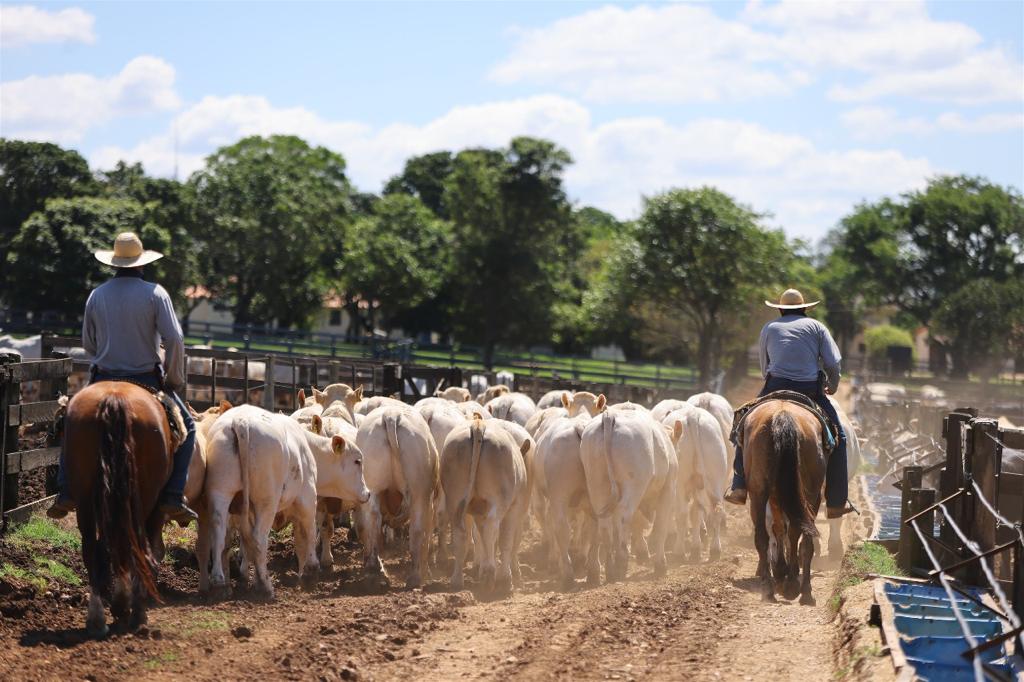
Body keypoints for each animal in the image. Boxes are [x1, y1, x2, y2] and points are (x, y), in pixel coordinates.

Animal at [62, 378, 174, 634]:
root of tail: (114, 398)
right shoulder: (154, 511)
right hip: (144, 500)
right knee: (135, 548)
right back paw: (133, 613)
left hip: (85, 499)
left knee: (93, 549)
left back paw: (97, 618)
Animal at [201, 405, 370, 598]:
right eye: (357, 461)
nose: (367, 493)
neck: (308, 448)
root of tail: (241, 422)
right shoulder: (308, 498)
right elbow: (309, 533)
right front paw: (311, 570)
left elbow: (298, 539)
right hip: (266, 502)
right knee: (259, 538)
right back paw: (266, 586)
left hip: (221, 493)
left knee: (219, 535)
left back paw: (220, 583)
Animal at [356, 403, 436, 585]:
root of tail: (391, 415)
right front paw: (427, 571)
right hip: (418, 491)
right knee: (417, 528)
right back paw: (415, 576)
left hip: (372, 486)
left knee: (373, 520)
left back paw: (375, 570)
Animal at [581, 405, 675, 581]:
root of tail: (610, 416)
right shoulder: (668, 488)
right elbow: (660, 526)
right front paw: (661, 565)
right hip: (633, 486)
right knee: (625, 516)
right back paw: (621, 562)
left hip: (597, 484)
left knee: (605, 526)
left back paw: (609, 570)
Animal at [741, 399, 827, 602]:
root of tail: (782, 415)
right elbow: (787, 531)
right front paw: (786, 574)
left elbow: (778, 529)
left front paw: (780, 571)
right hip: (810, 493)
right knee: (800, 537)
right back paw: (801, 588)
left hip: (759, 491)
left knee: (763, 536)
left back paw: (770, 587)